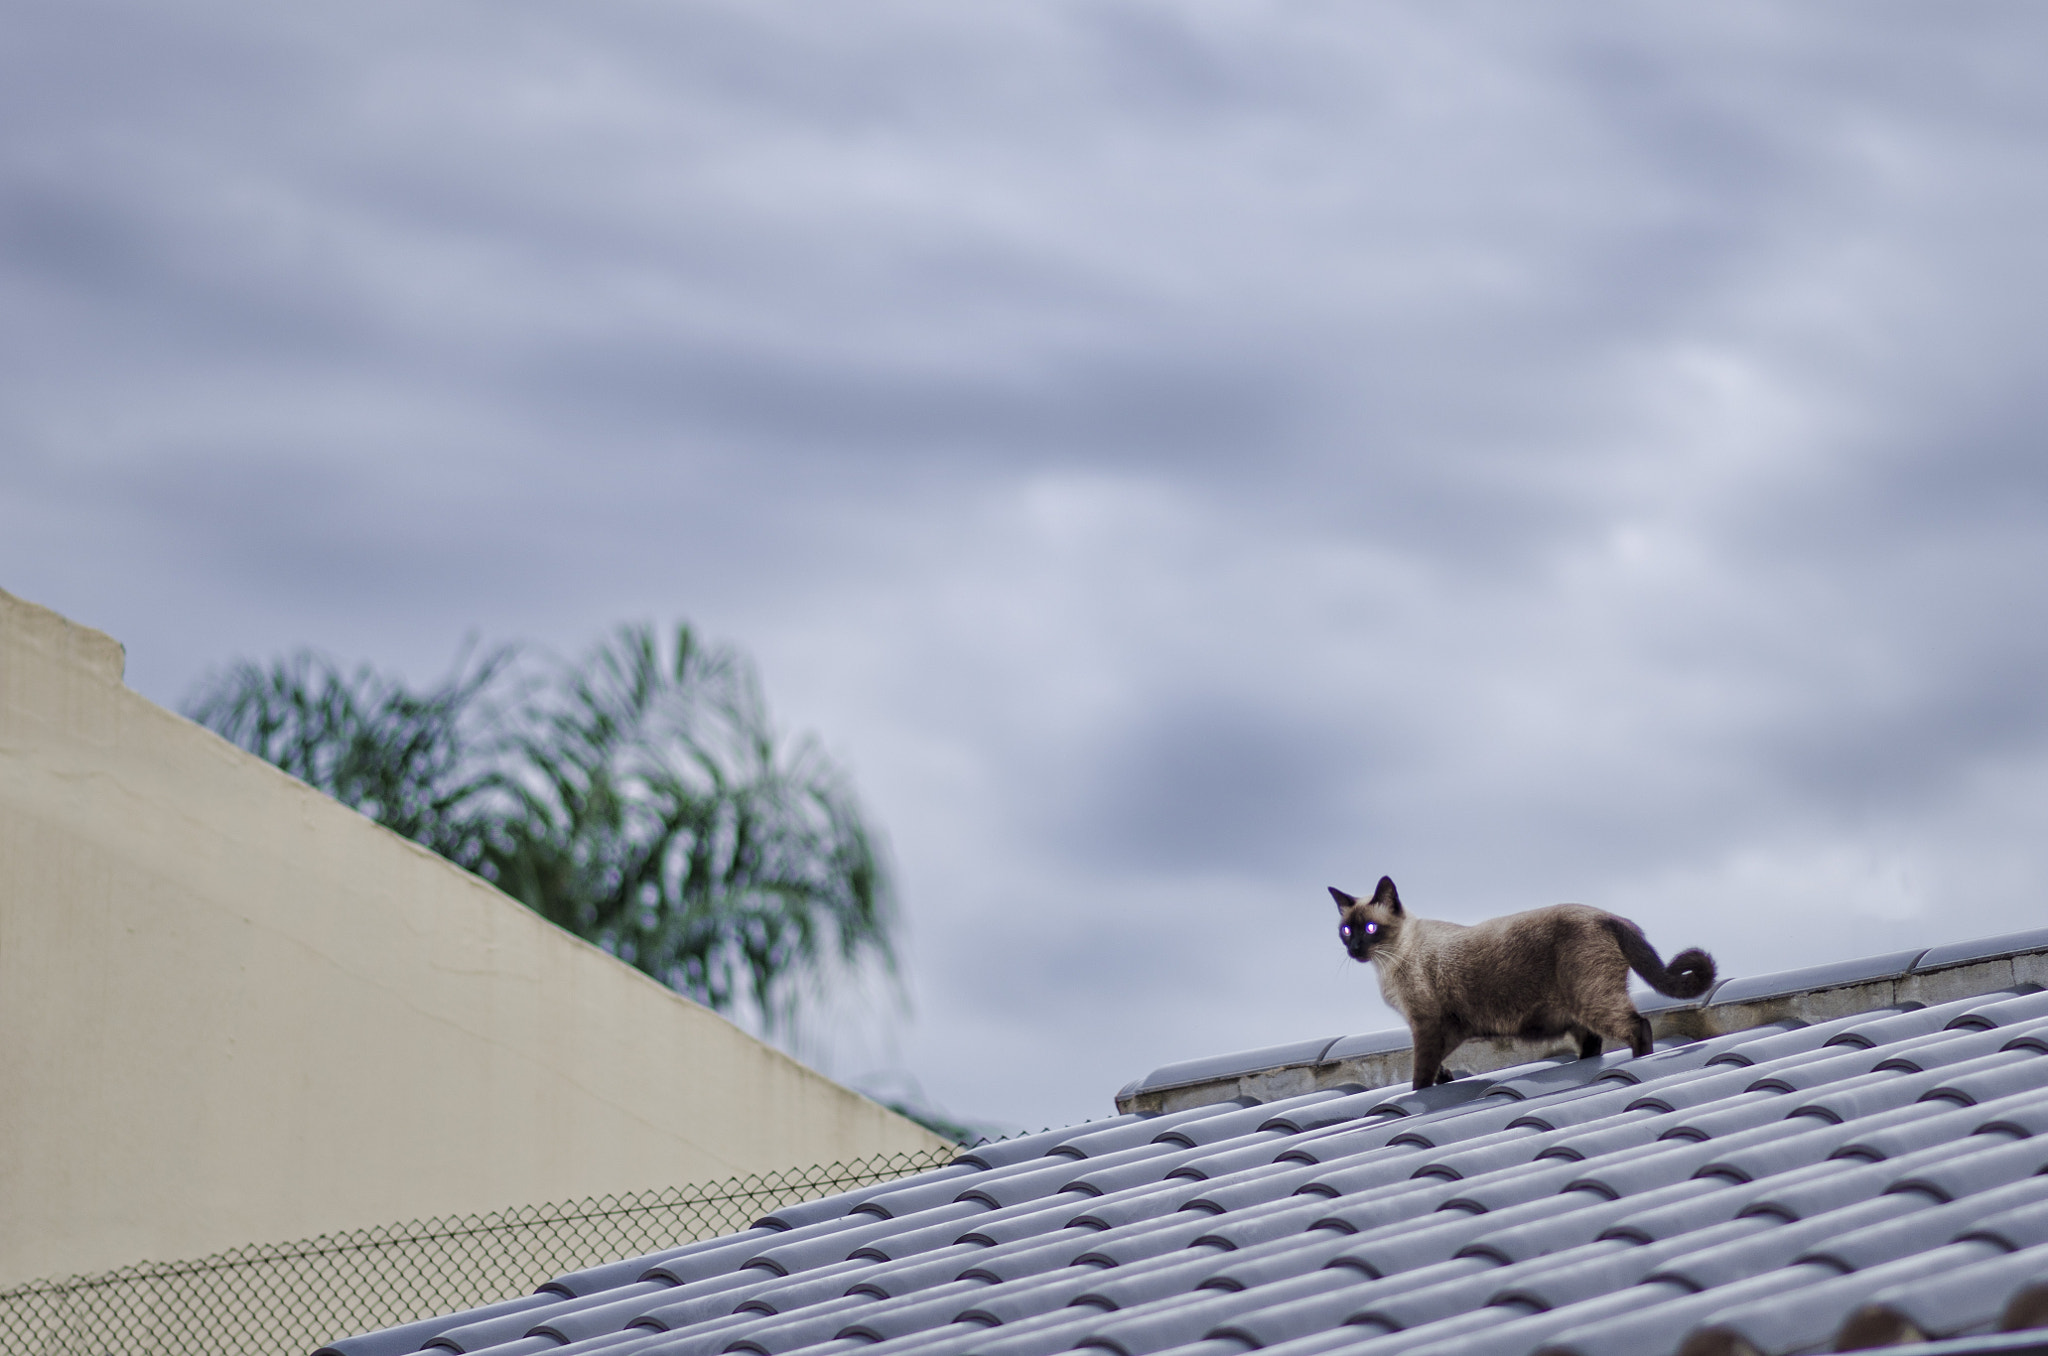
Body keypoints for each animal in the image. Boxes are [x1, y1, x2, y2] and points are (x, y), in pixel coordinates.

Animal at [1335, 880, 1720, 1097]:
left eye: (1370, 928)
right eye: (1346, 930)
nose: (1354, 949)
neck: (1390, 962)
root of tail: (1611, 916)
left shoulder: (1427, 1026)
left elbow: (1420, 1078)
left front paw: (1427, 1087)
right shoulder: (1442, 1030)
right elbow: (1436, 1069)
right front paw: (1445, 1078)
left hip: (1591, 1001)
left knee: (1638, 1026)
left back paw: (1642, 1060)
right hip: (1578, 1015)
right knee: (1593, 1044)